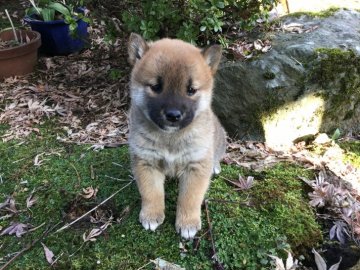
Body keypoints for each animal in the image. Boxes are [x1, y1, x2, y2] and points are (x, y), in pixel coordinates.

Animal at [128, 33, 226, 238]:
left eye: (191, 90)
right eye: (156, 87)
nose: (173, 115)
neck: (170, 138)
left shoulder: (196, 166)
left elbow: (189, 198)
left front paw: (187, 223)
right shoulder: (146, 162)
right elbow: (151, 193)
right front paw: (151, 215)